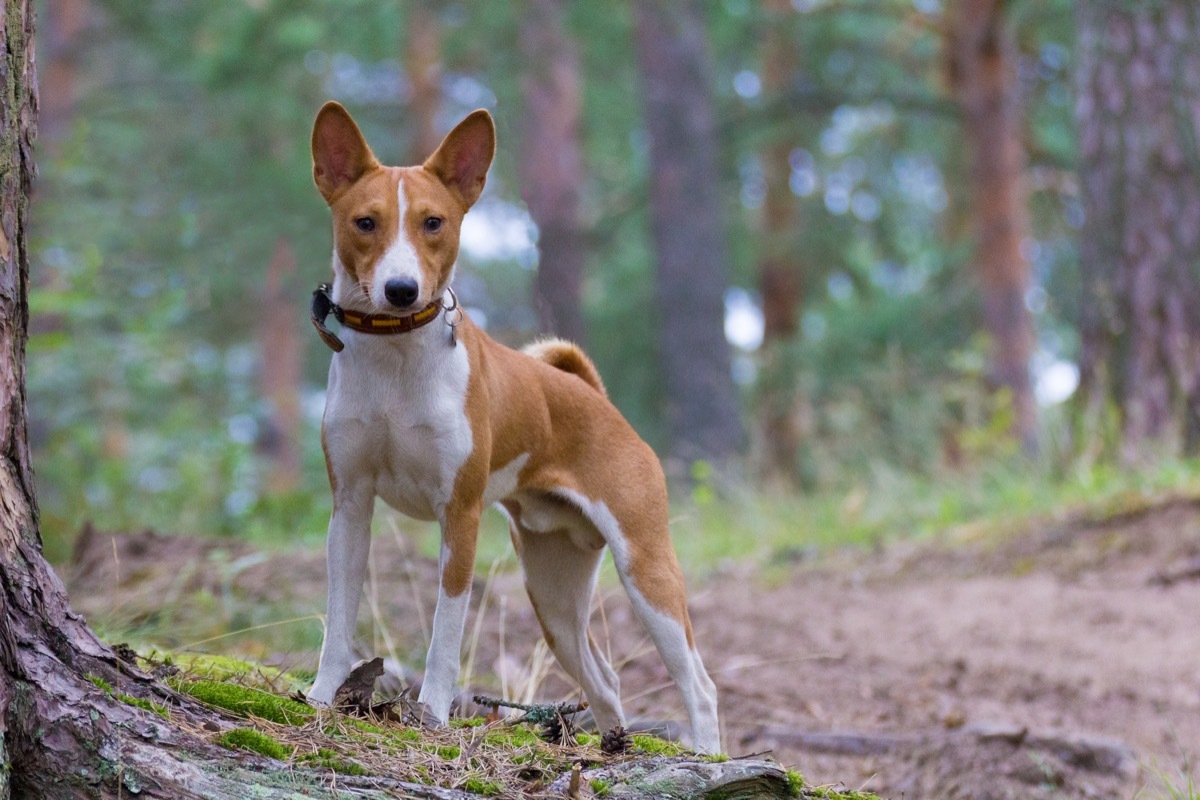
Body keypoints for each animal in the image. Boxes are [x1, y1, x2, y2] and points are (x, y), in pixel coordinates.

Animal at [309, 101, 715, 758]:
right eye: (365, 223)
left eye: (433, 223)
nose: (401, 290)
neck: (395, 365)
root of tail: (597, 398)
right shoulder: (350, 505)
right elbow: (339, 618)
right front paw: (321, 698)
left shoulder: (460, 514)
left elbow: (445, 633)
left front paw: (432, 716)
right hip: (553, 594)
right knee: (604, 680)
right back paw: (605, 747)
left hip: (645, 566)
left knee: (698, 683)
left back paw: (709, 754)